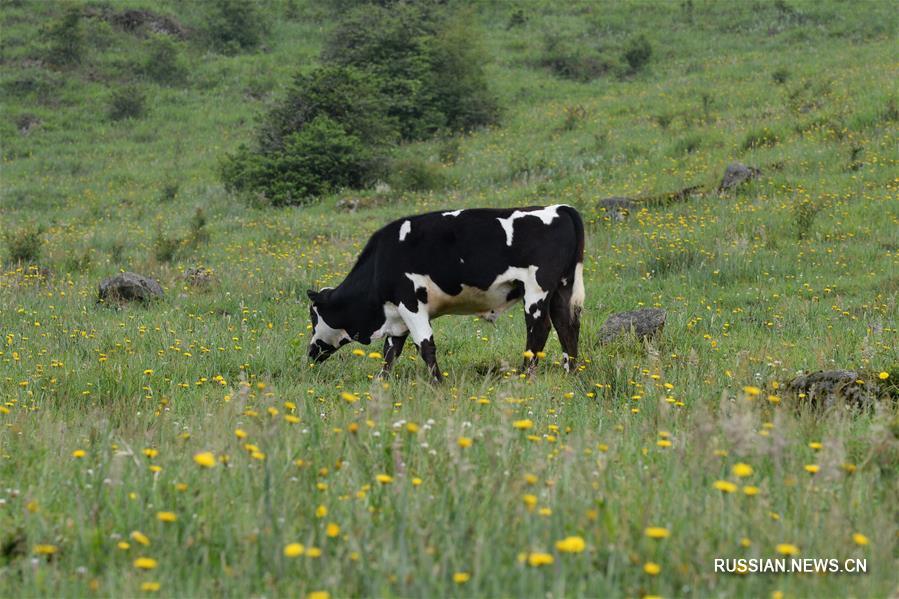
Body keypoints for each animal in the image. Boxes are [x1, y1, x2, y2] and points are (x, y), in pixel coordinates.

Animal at [306, 204, 588, 382]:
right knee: (567, 326)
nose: (310, 354)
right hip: (562, 288)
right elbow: (391, 351)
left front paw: (438, 383)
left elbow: (425, 345)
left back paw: (525, 376)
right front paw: (381, 383)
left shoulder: (410, 302)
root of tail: (560, 208)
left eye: (313, 318)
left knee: (539, 329)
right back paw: (571, 374)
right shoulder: (398, 315)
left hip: (537, 290)